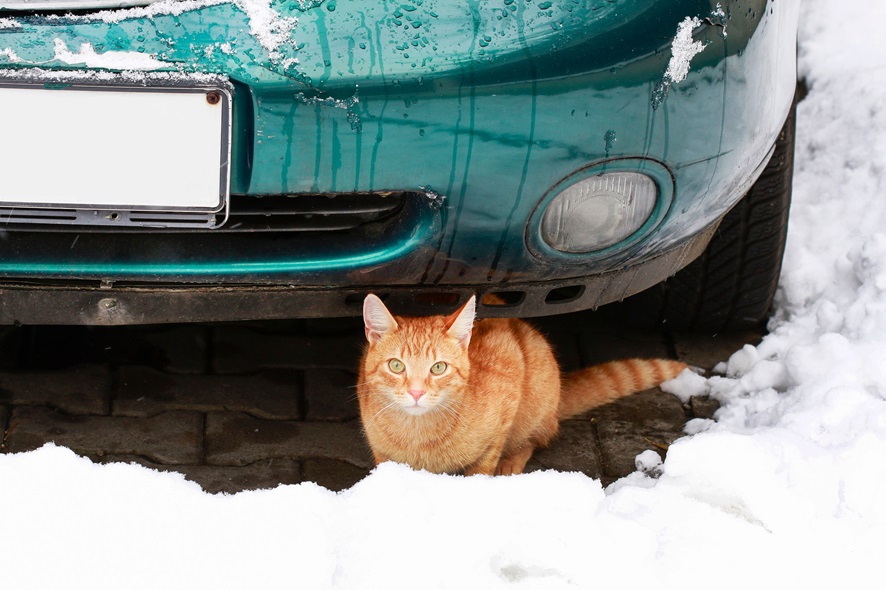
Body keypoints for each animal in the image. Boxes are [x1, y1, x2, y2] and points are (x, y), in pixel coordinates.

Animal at [358, 294, 692, 478]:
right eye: (396, 366)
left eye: (438, 368)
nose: (416, 392)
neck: (417, 434)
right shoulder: (382, 454)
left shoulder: (506, 400)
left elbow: (484, 463)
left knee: (534, 438)